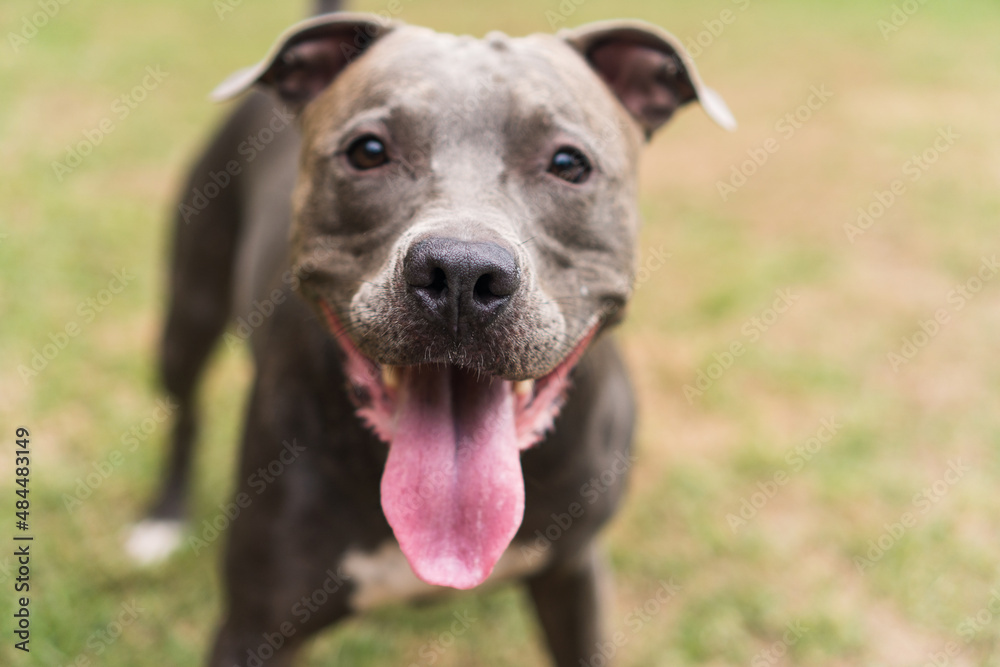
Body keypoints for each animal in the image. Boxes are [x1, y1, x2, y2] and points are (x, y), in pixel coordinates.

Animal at [129, 3, 732, 664]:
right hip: (189, 312)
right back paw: (162, 519)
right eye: (368, 151)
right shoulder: (254, 627)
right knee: (184, 410)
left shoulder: (572, 574)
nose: (462, 271)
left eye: (569, 164)